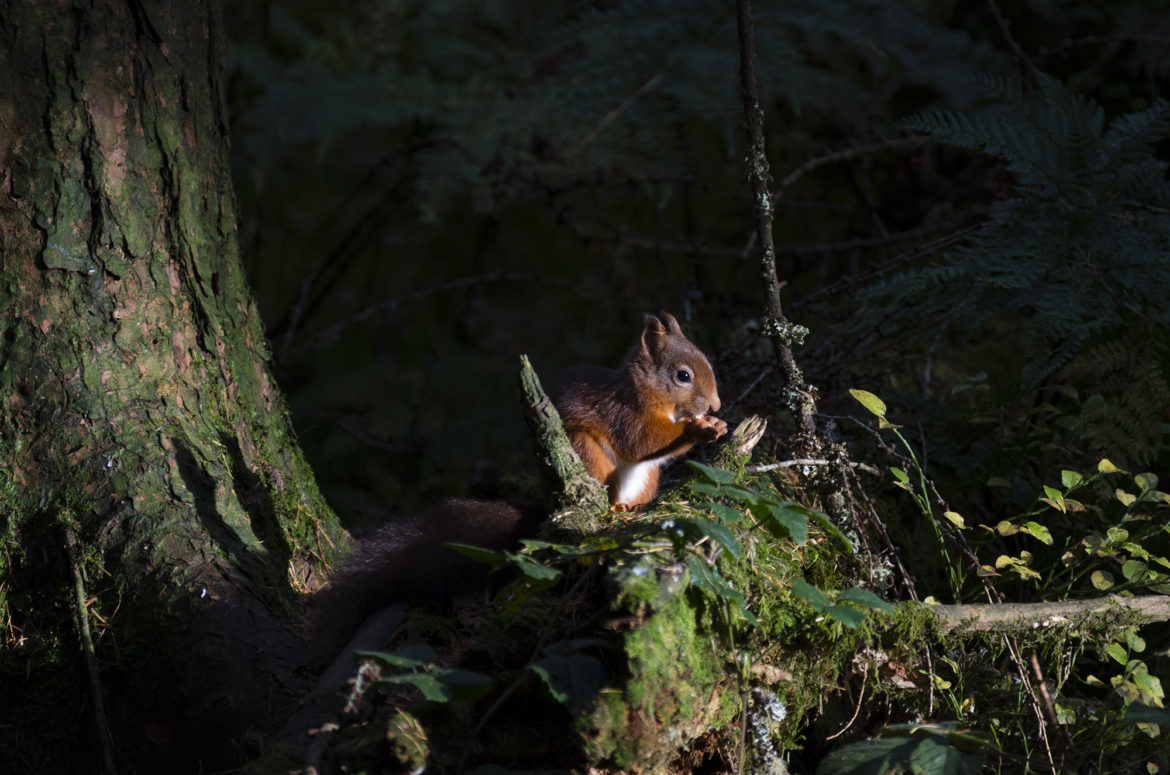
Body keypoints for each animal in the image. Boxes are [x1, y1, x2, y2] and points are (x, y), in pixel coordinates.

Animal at [549, 311, 727, 509]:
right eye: (683, 376)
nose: (716, 405)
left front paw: (716, 424)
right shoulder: (621, 414)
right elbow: (641, 442)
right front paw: (695, 428)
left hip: (648, 477)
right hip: (584, 448)